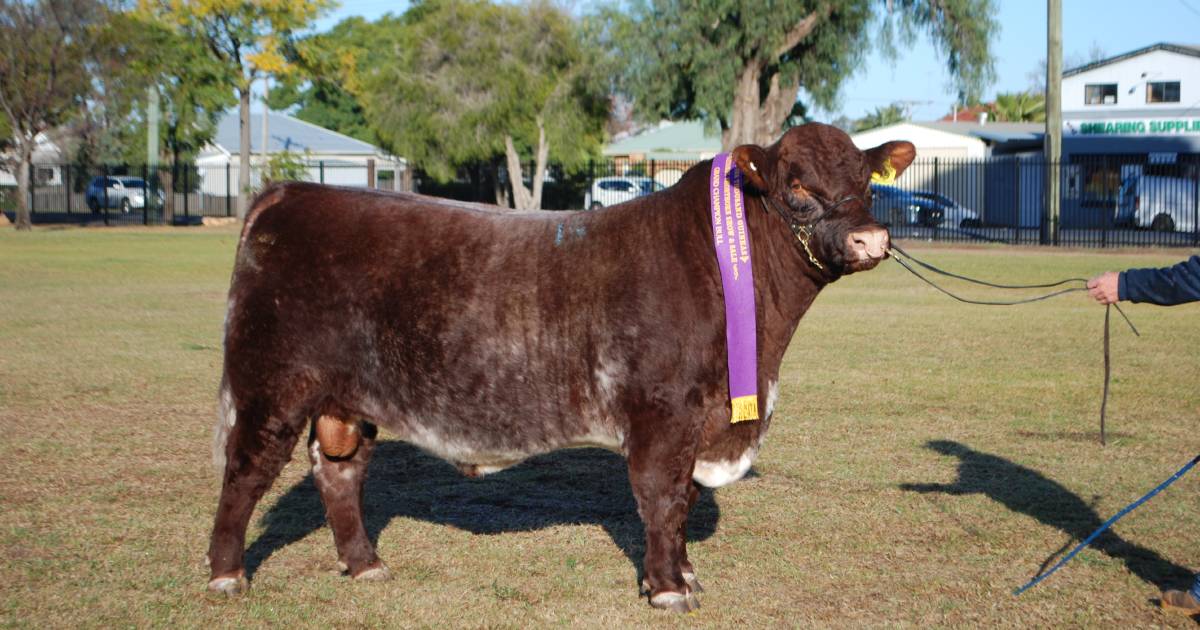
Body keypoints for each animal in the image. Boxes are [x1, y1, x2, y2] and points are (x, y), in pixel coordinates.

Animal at [208, 121, 916, 609]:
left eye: (866, 181)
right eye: (796, 186)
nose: (870, 239)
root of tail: (289, 193)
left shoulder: (699, 417)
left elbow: (683, 499)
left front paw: (685, 574)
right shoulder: (663, 411)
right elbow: (662, 496)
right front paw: (667, 587)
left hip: (345, 399)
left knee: (340, 472)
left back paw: (365, 564)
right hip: (270, 384)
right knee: (245, 471)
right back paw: (226, 575)